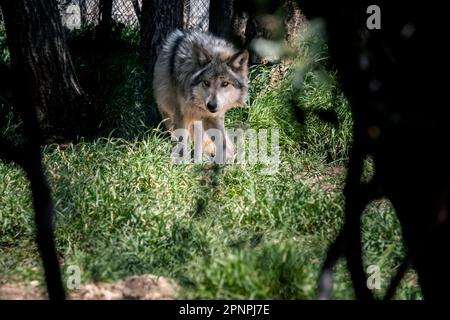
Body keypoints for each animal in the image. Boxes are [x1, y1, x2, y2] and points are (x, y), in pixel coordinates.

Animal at [153, 29, 248, 162]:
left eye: (225, 84)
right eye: (206, 82)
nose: (212, 106)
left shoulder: (214, 117)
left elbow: (223, 143)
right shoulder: (180, 115)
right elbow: (182, 144)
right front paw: (181, 165)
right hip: (168, 113)